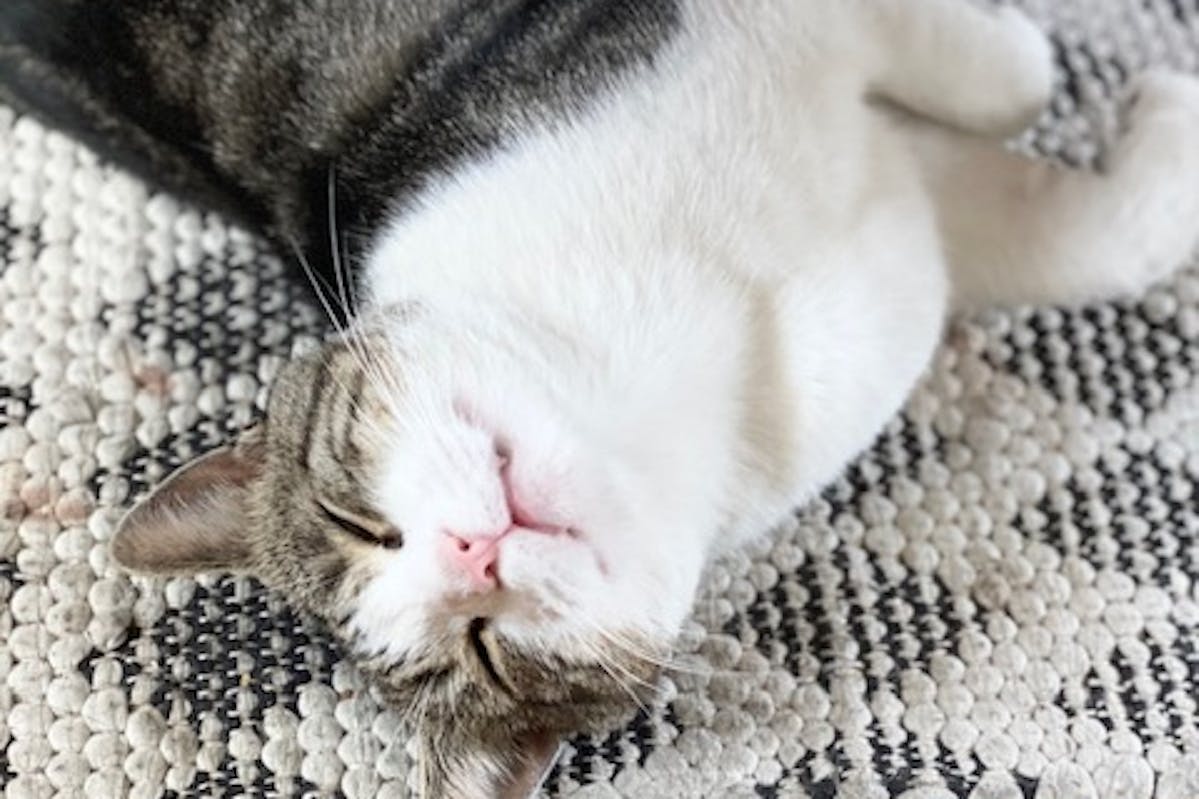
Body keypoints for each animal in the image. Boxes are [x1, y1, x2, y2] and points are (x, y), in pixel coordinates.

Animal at [2, 1, 1199, 796]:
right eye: (483, 648)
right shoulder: (906, 231)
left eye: (361, 522)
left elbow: (962, 69)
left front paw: (1052, 66)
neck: (690, 369)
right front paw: (1149, 109)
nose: (470, 555)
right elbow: (1061, 232)